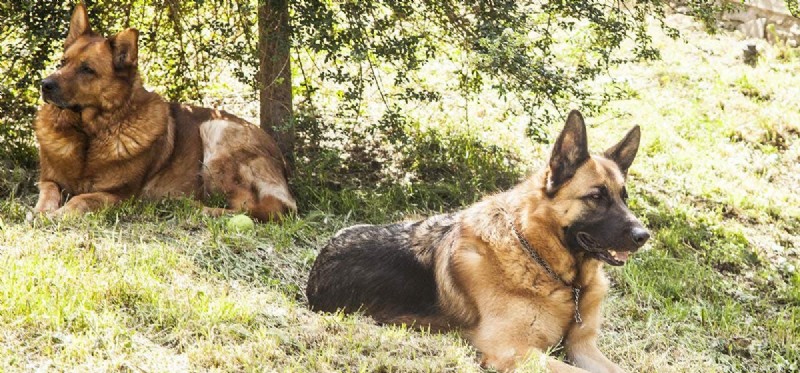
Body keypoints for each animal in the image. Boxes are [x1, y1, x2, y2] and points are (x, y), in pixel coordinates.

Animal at [33, 4, 296, 219]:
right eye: (62, 62)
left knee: (264, 209)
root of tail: (281, 161)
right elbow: (49, 192)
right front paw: (42, 211)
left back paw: (196, 209)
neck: (89, 134)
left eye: (87, 69)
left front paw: (58, 215)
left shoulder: (119, 196)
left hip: (216, 132)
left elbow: (81, 199)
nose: (44, 84)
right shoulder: (47, 180)